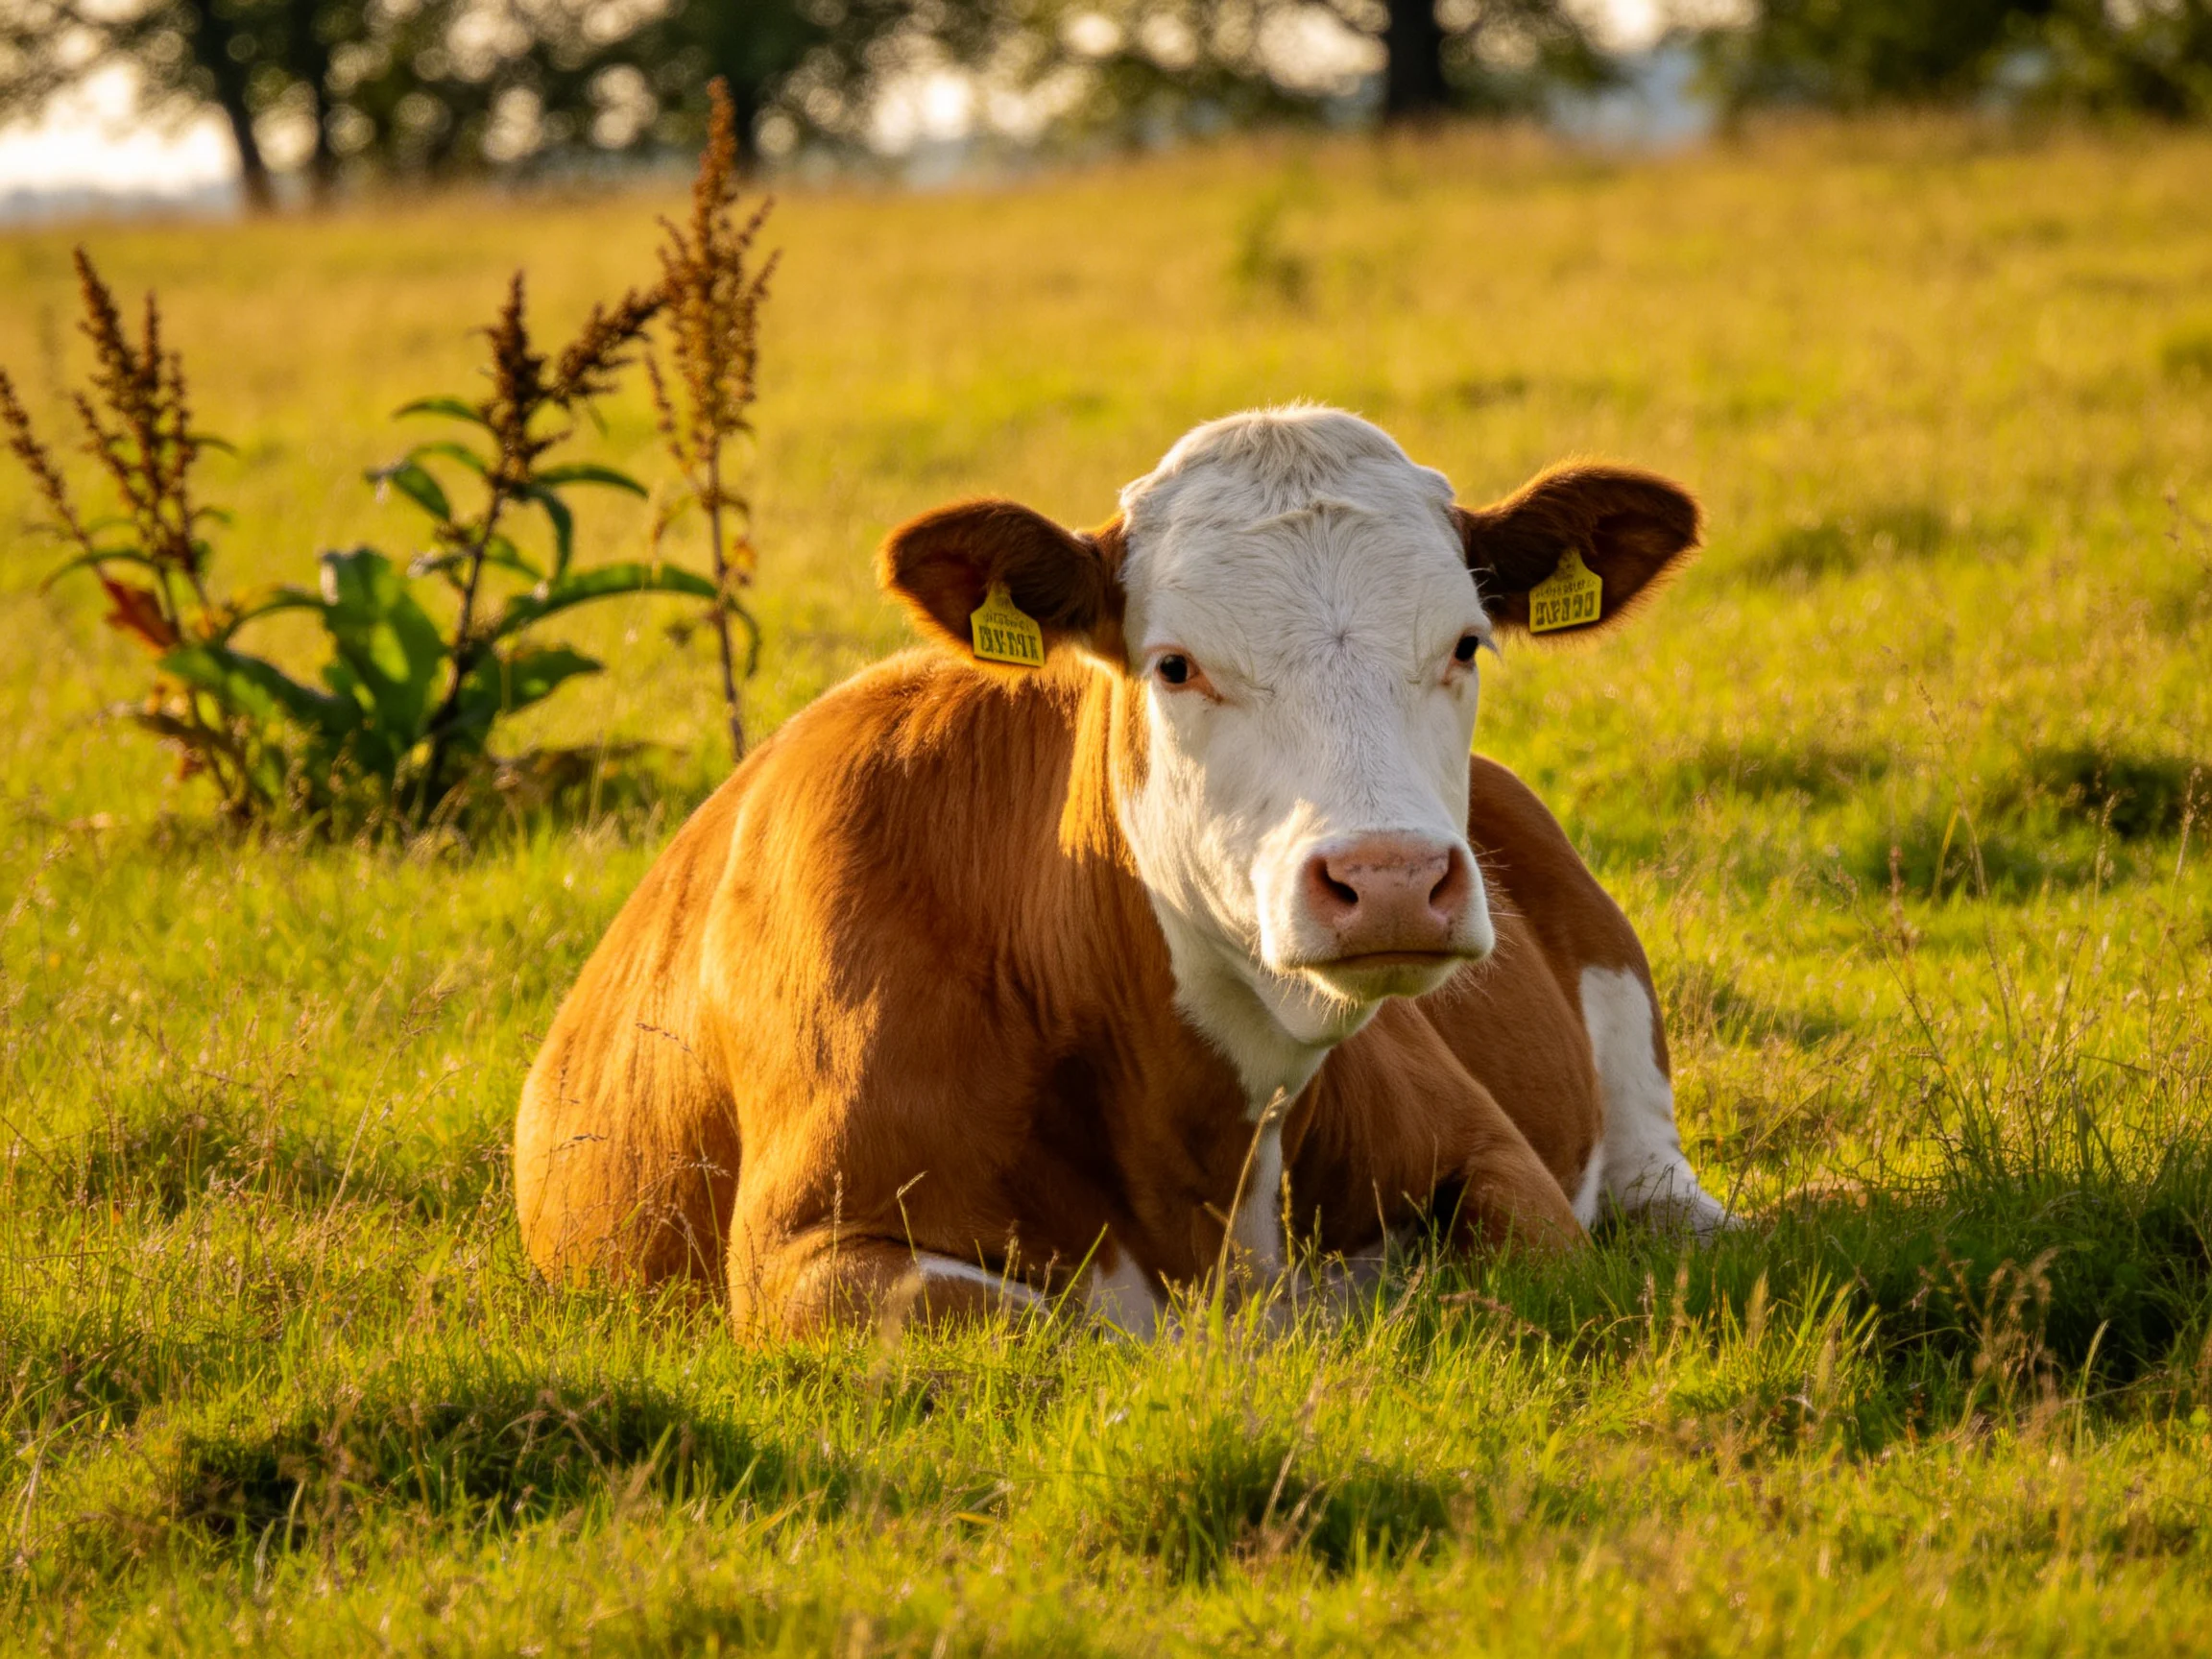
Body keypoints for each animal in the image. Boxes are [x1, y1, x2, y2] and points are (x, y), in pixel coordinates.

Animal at [514, 406, 1728, 1339]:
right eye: (1175, 665)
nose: (1389, 877)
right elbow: (1047, 1331)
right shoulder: (800, 1253)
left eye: (1467, 644)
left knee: (1661, 1188)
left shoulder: (1499, 1163)